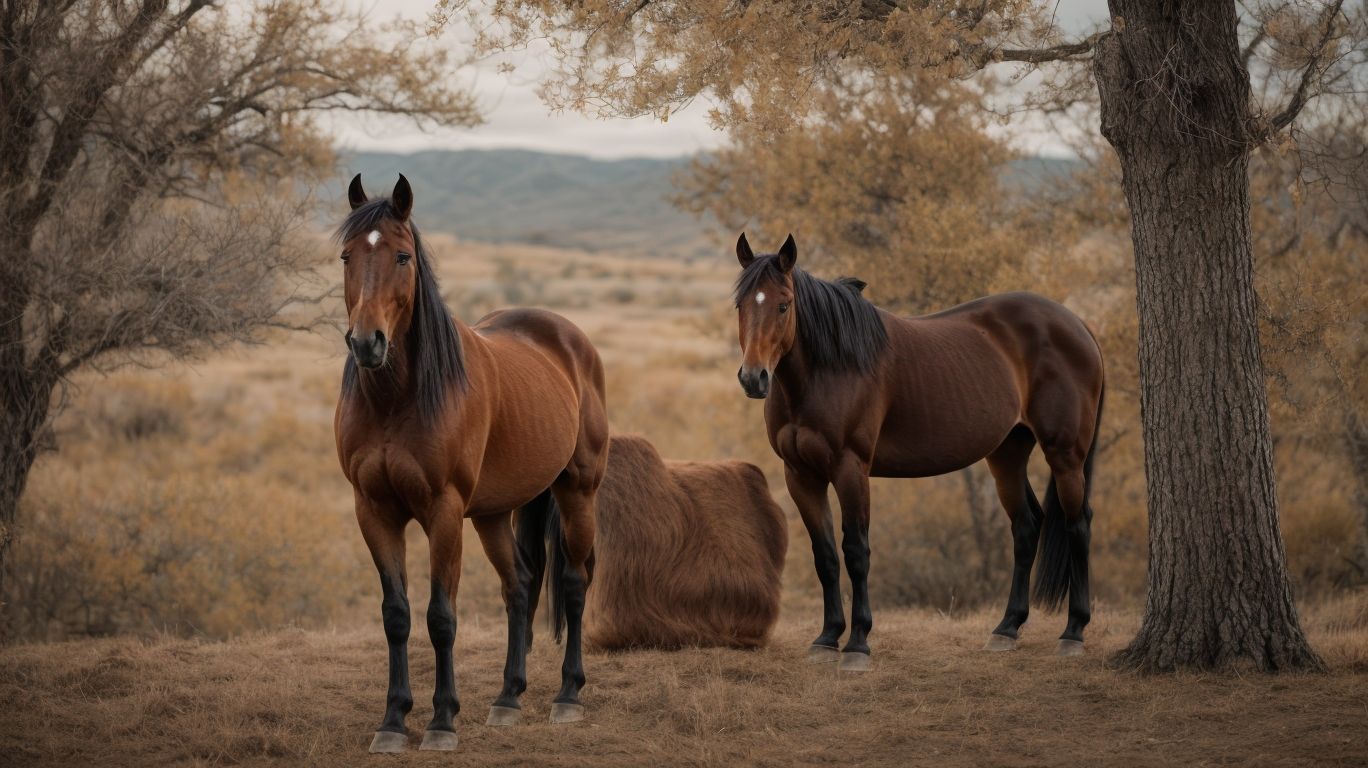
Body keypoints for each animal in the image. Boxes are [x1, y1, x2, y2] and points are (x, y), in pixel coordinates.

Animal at [333, 174, 608, 752]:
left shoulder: (443, 513)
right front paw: (393, 721)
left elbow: (441, 616)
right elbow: (397, 615)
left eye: (402, 256)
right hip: (493, 514)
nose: (367, 344)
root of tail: (570, 340)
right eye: (347, 256)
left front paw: (441, 720)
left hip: (578, 492)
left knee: (574, 583)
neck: (398, 400)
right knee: (520, 586)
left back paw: (568, 695)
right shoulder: (373, 510)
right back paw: (508, 697)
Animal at [731, 233, 1104, 670]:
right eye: (741, 305)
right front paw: (826, 638)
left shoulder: (850, 469)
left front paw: (857, 644)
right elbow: (825, 556)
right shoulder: (801, 475)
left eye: (784, 304)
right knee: (1027, 526)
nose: (754, 378)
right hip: (1007, 453)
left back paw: (1073, 632)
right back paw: (1007, 628)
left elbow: (856, 552)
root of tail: (1076, 324)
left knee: (1078, 525)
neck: (826, 371)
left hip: (1065, 453)